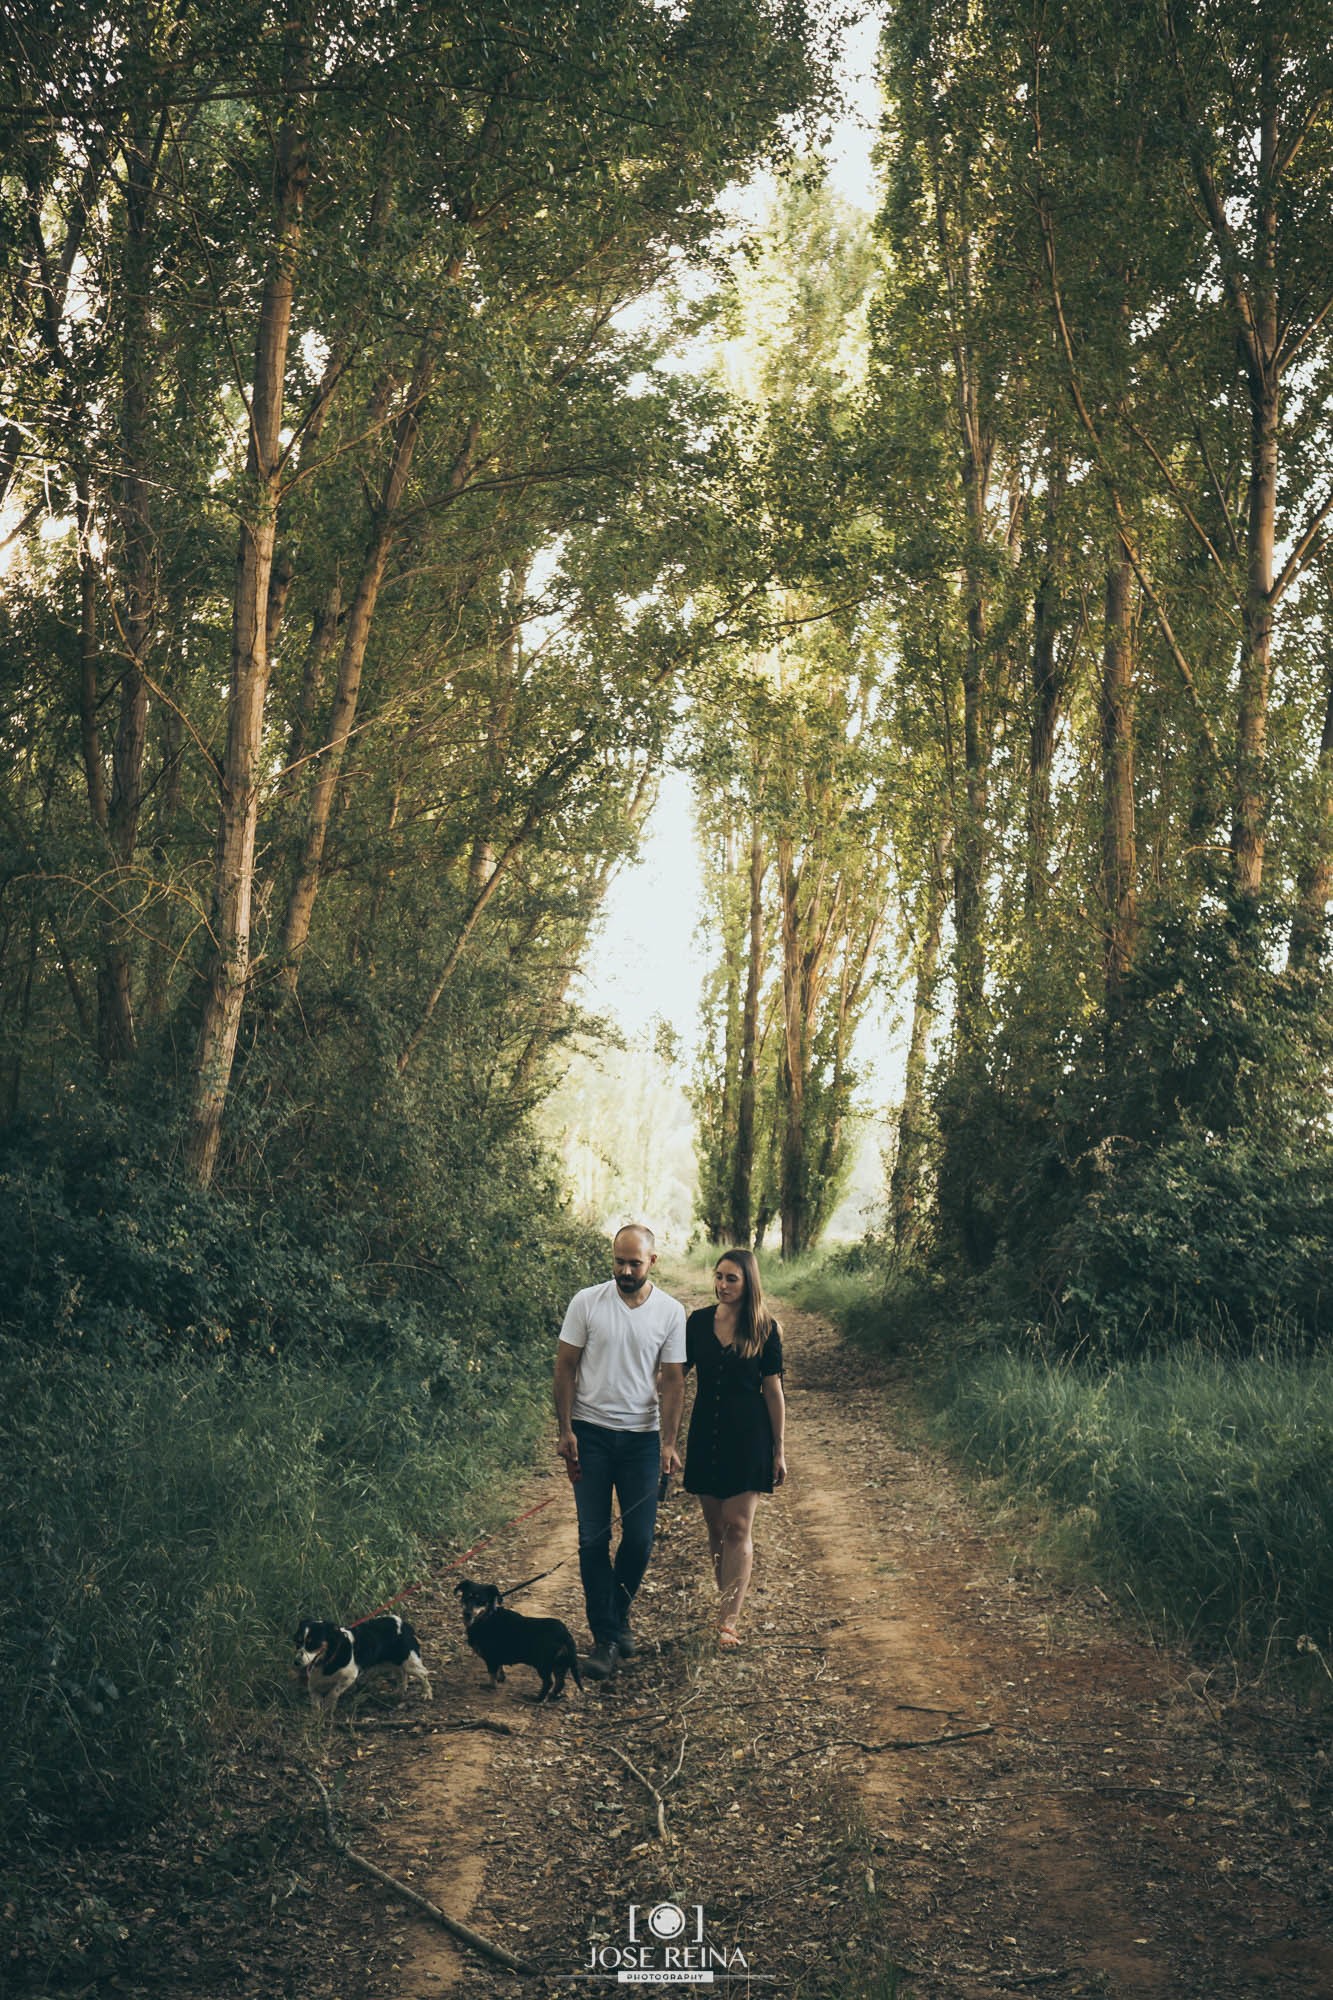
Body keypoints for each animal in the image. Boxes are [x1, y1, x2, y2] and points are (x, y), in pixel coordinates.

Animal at [294, 1616, 434, 1712]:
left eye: (312, 1644)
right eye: (298, 1642)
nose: (296, 1662)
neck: (330, 1658)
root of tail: (404, 1624)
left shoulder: (349, 1676)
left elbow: (333, 1693)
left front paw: (329, 1706)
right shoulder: (314, 1684)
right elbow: (315, 1703)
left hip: (408, 1662)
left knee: (423, 1673)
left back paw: (427, 1693)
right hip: (392, 1662)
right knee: (402, 1674)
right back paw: (398, 1693)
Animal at [454, 1576, 580, 1704]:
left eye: (481, 1601)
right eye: (465, 1598)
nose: (467, 1613)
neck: (487, 1617)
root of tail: (565, 1634)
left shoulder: (491, 1658)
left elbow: (491, 1675)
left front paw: (490, 1686)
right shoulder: (497, 1657)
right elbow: (499, 1669)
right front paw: (501, 1678)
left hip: (543, 1664)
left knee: (548, 1682)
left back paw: (538, 1699)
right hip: (560, 1664)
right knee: (560, 1683)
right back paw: (552, 1696)